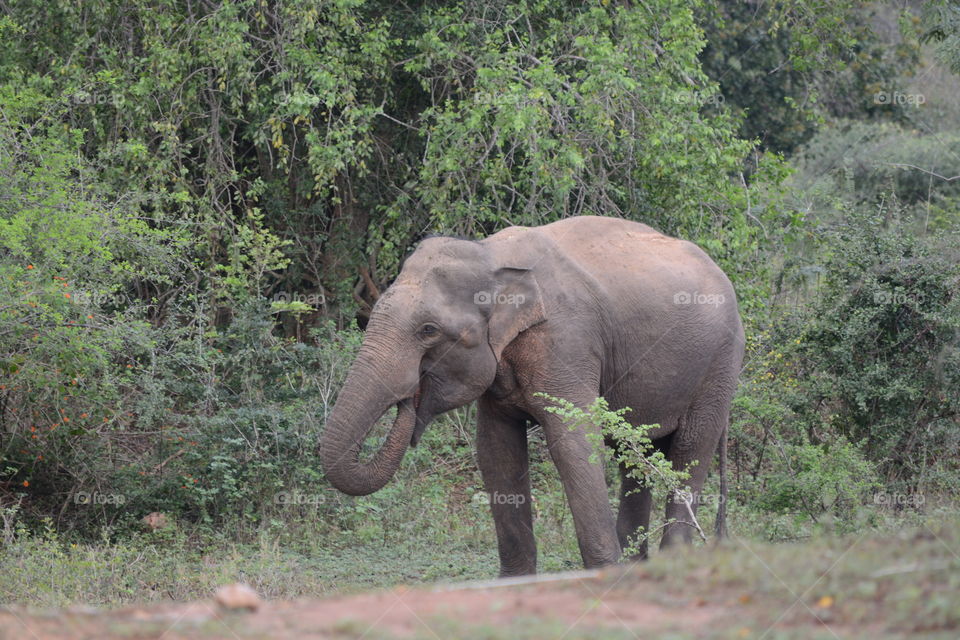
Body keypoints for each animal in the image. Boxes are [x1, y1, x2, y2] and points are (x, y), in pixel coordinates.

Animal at [319, 215, 744, 576]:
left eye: (428, 330)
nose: (410, 399)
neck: (491, 256)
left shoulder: (566, 342)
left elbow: (574, 442)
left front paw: (605, 575)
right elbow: (496, 451)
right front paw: (515, 581)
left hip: (720, 365)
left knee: (691, 447)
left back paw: (674, 563)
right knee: (634, 455)